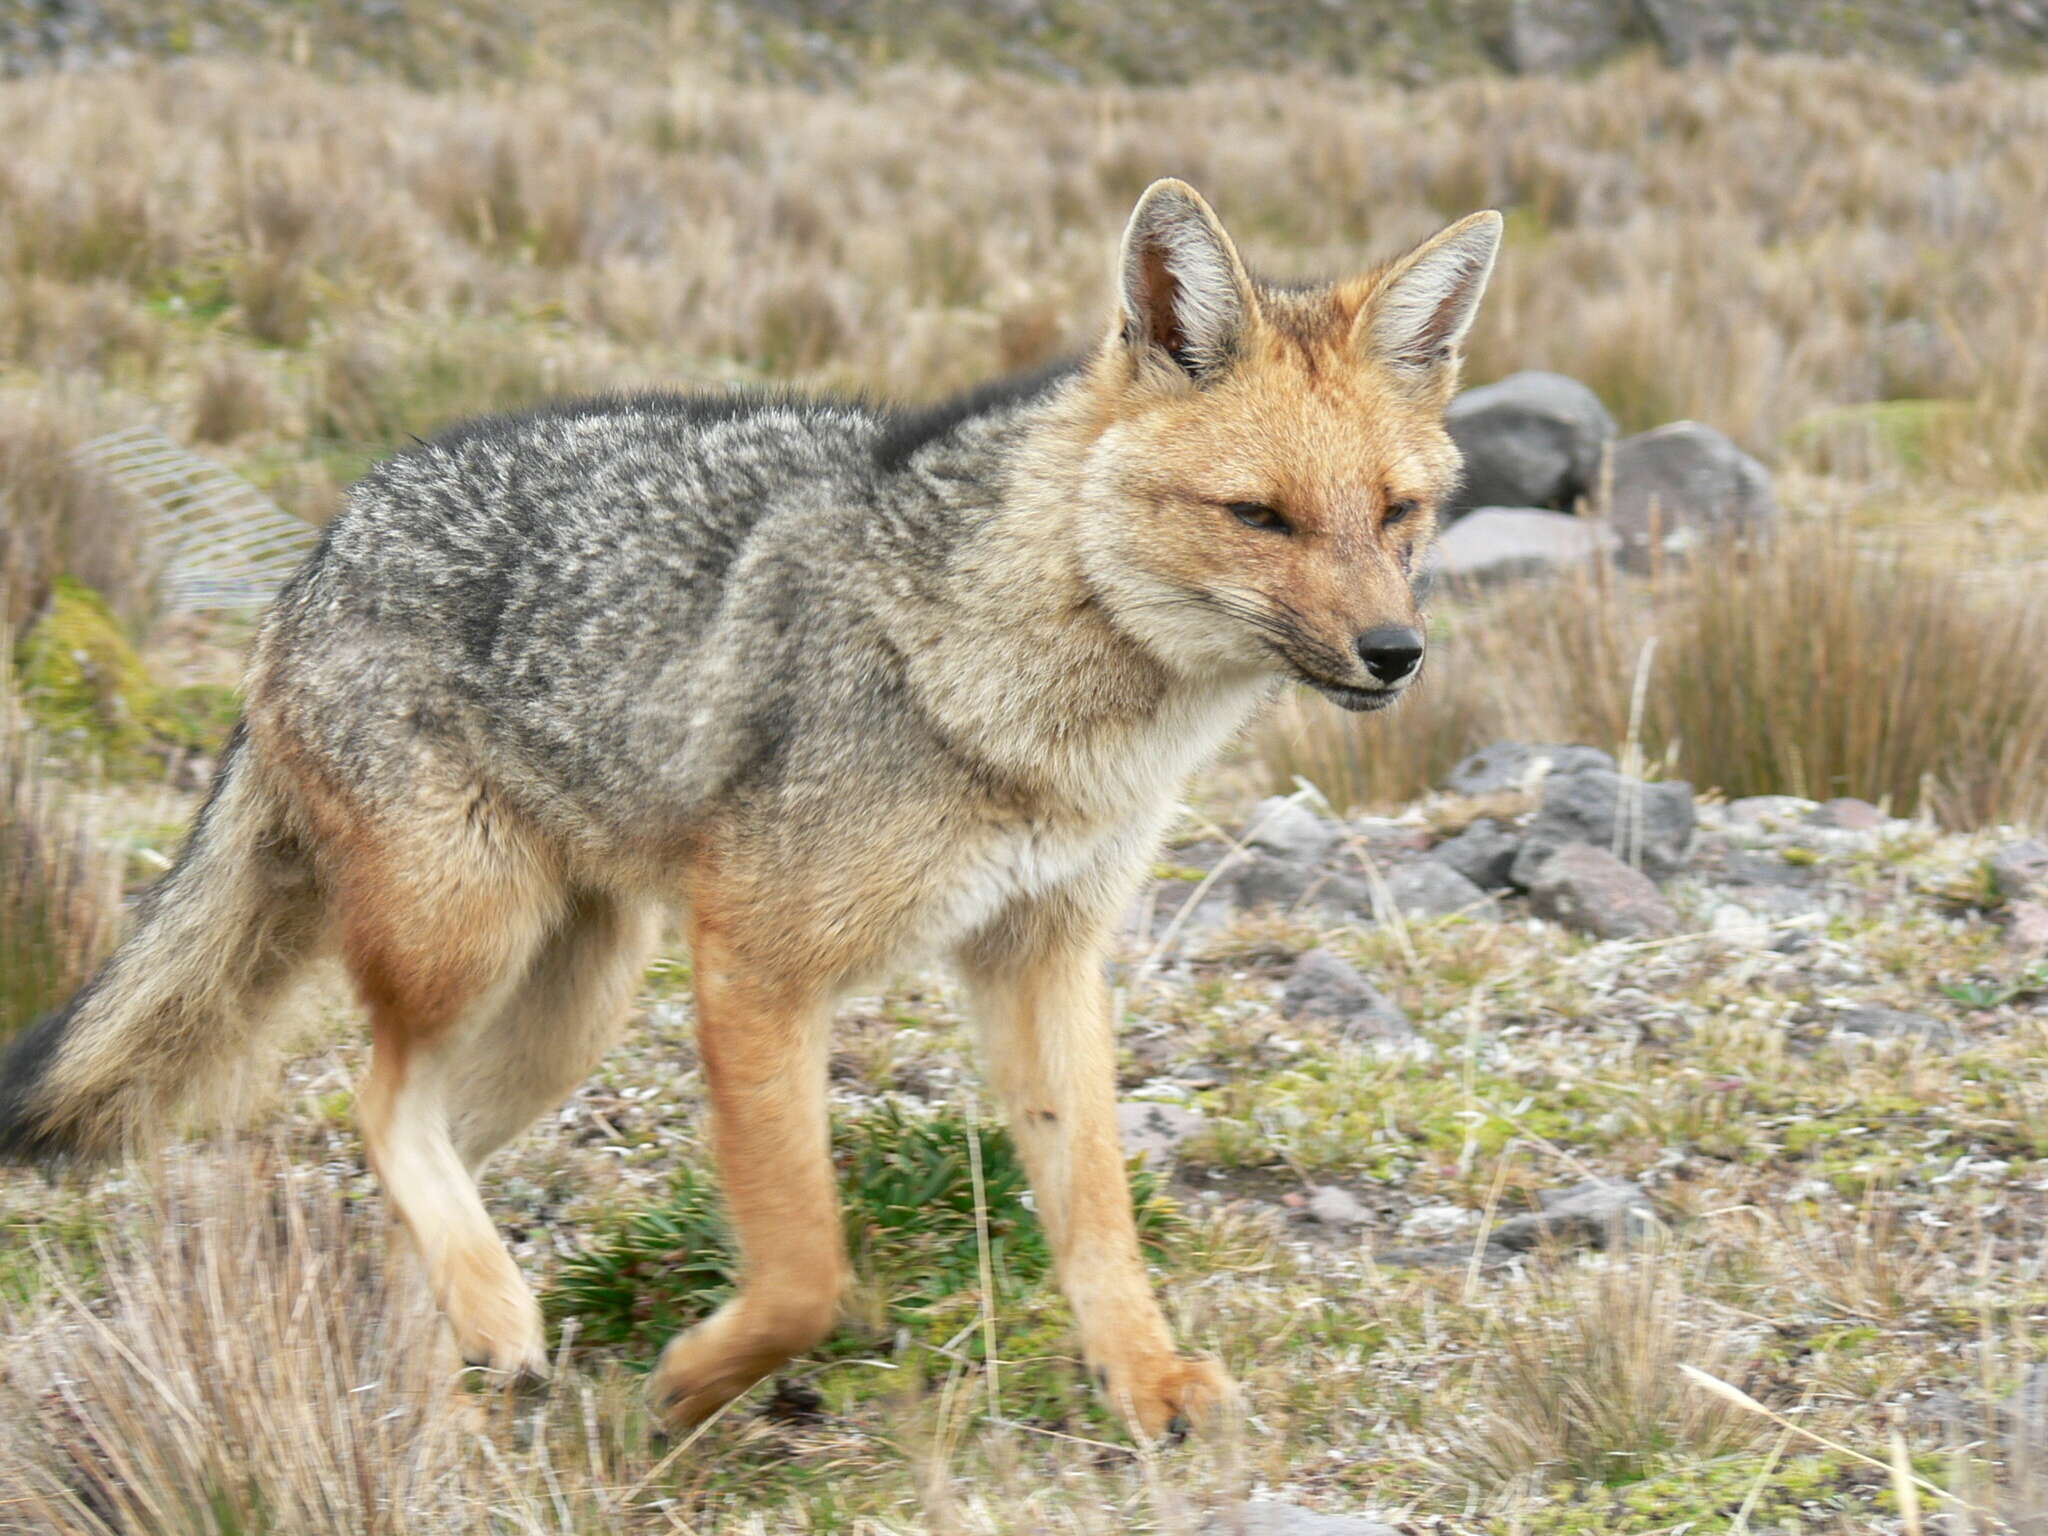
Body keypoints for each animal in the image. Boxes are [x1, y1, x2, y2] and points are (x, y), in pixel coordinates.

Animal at [4, 180, 1507, 1441]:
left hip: (568, 1010)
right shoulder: (756, 966)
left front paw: (1140, 1380)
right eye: (1259, 516)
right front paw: (693, 1378)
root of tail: (322, 546)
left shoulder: (1044, 955)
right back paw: (496, 1318)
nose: (1394, 654)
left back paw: (445, 1376)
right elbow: (803, 1267)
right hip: (464, 941)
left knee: (403, 1170)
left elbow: (1095, 1210)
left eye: (1396, 513)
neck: (1034, 695)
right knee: (373, 1105)